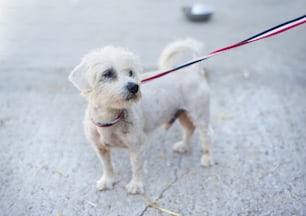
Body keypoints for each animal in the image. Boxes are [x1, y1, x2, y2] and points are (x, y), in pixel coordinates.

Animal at [69, 38, 213, 194]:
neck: (110, 118)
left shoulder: (136, 146)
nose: (134, 87)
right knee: (189, 129)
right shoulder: (100, 148)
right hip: (182, 114)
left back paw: (208, 157)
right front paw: (108, 181)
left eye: (130, 72)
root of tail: (194, 70)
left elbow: (136, 167)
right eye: (107, 73)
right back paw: (184, 146)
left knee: (206, 136)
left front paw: (136, 185)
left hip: (199, 115)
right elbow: (107, 166)